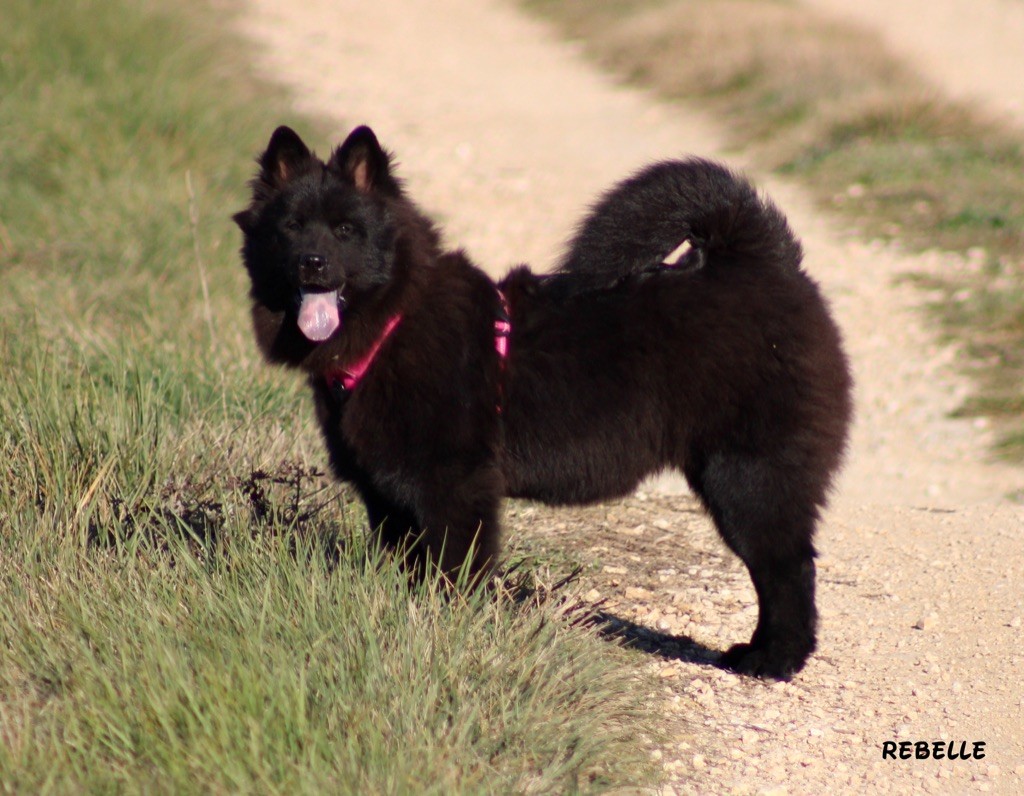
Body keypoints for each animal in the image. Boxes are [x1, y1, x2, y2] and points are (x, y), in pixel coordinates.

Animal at [235, 126, 851, 676]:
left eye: (345, 229)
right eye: (291, 228)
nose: (312, 262)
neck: (392, 323)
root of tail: (766, 262)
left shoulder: (453, 486)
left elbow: (453, 572)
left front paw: (444, 630)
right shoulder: (386, 492)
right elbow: (407, 567)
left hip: (747, 479)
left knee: (787, 569)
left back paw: (773, 661)